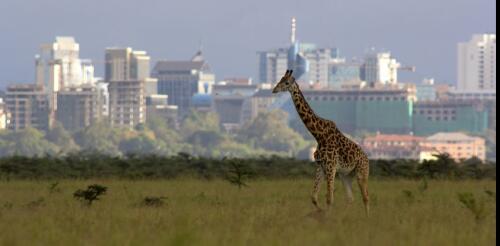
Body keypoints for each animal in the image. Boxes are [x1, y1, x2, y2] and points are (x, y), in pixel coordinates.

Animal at [272, 69, 370, 215]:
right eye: (280, 79)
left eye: (286, 82)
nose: (274, 89)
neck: (319, 135)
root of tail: (367, 159)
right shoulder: (320, 166)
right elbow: (314, 197)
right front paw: (321, 213)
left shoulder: (330, 166)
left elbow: (329, 198)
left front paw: (326, 216)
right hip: (346, 176)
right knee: (350, 198)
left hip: (361, 173)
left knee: (366, 197)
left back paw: (367, 217)